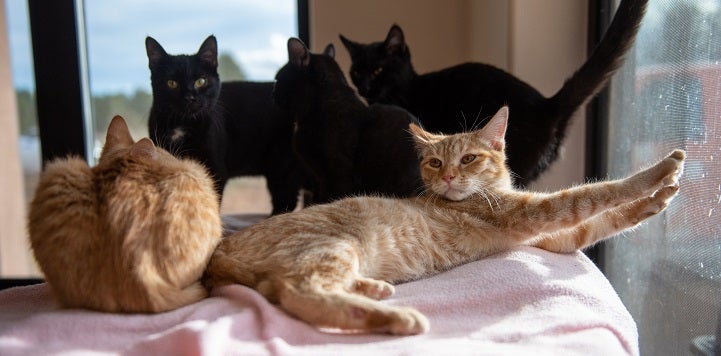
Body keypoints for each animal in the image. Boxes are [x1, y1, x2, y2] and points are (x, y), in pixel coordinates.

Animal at [146, 35, 300, 214]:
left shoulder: (215, 168)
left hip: (280, 166)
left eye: (201, 81)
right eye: (171, 83)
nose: (190, 97)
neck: (183, 123)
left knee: (286, 201)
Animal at [201, 105, 680, 334]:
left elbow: (595, 224)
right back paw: (394, 319)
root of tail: (220, 249)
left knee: (286, 287)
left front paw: (656, 201)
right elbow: (594, 195)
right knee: (297, 292)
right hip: (335, 245)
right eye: (433, 162)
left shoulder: (548, 238)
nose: (448, 176)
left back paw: (373, 289)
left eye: (467, 159)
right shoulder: (534, 213)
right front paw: (658, 173)